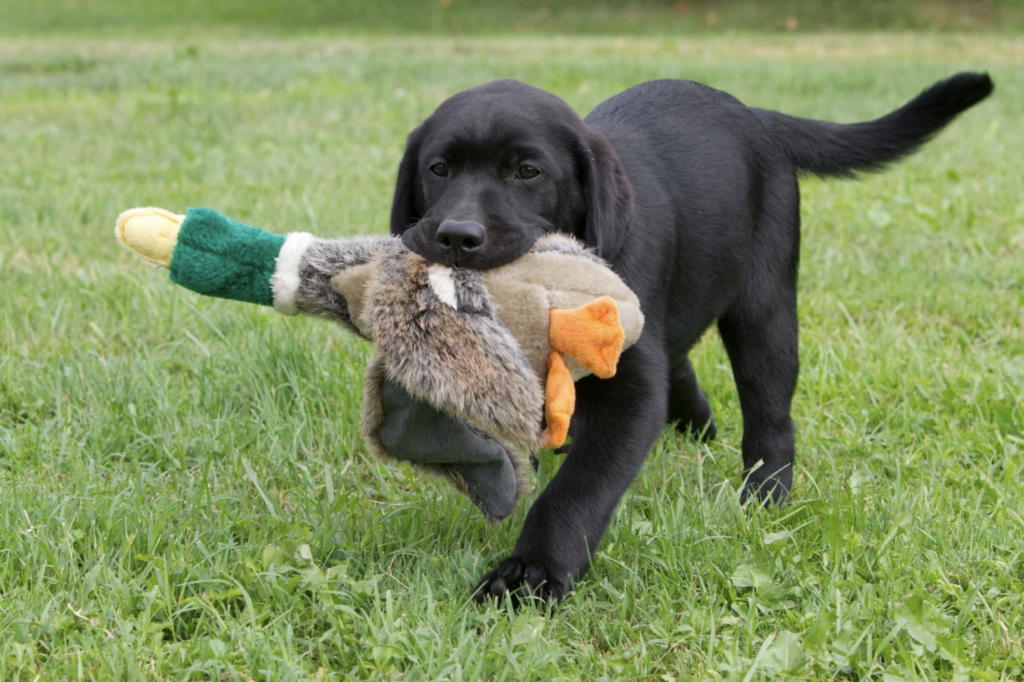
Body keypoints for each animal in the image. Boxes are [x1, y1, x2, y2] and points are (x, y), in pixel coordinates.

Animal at [385, 71, 991, 598]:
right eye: (438, 168)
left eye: (527, 172)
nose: (457, 236)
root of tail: (757, 116)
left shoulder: (632, 390)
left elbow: (578, 488)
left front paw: (533, 571)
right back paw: (697, 422)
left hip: (765, 308)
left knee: (770, 413)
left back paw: (766, 496)